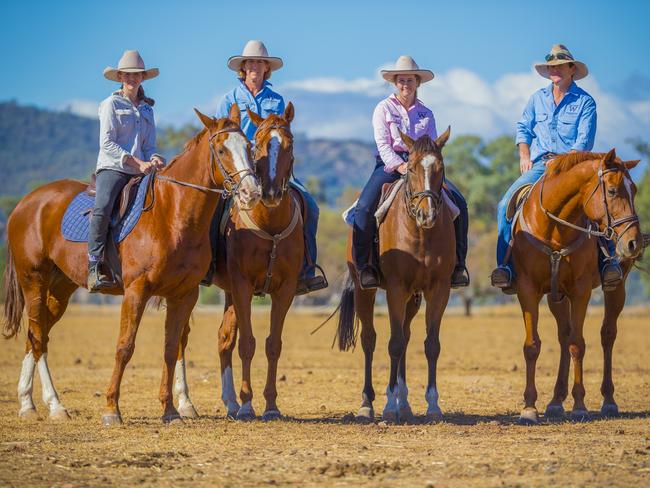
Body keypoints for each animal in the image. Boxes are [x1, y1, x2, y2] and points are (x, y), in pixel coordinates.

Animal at [3, 106, 260, 424]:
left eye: (249, 147)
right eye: (222, 149)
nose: (252, 192)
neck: (172, 215)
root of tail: (24, 204)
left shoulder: (183, 295)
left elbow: (170, 348)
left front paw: (170, 410)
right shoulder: (136, 291)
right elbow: (125, 346)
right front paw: (112, 409)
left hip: (60, 289)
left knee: (36, 336)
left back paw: (31, 403)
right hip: (33, 282)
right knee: (38, 337)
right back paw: (51, 405)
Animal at [173, 102, 302, 420]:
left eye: (290, 144)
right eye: (259, 145)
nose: (268, 193)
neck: (270, 225)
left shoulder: (285, 290)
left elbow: (272, 345)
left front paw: (270, 405)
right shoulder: (242, 285)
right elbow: (247, 344)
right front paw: (246, 404)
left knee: (223, 339)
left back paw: (229, 401)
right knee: (181, 337)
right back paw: (185, 402)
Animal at [334, 130, 456, 424]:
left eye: (441, 168)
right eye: (410, 168)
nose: (427, 214)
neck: (420, 233)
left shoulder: (439, 289)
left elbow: (430, 344)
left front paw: (432, 405)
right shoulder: (395, 289)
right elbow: (394, 343)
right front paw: (389, 406)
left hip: (413, 298)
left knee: (406, 335)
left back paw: (405, 403)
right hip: (365, 291)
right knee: (370, 339)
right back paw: (367, 404)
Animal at [508, 150, 640, 424]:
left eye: (634, 189)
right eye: (613, 191)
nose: (634, 241)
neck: (555, 228)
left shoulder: (581, 290)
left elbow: (578, 344)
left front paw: (579, 404)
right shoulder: (528, 289)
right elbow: (532, 345)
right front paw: (529, 407)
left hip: (617, 287)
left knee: (607, 334)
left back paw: (608, 400)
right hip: (556, 296)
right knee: (563, 336)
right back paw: (556, 401)